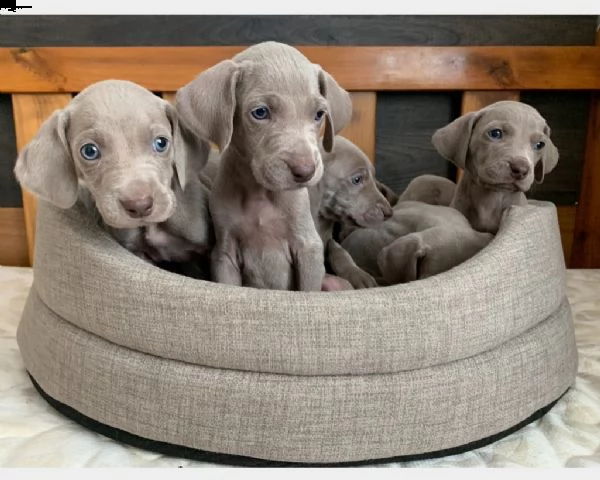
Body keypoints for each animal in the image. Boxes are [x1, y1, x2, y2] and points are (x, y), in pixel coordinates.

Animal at [175, 41, 352, 290]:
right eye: (260, 112)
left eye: (319, 114)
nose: (305, 171)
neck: (260, 194)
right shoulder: (224, 255)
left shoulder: (309, 249)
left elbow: (308, 289)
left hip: (332, 282)